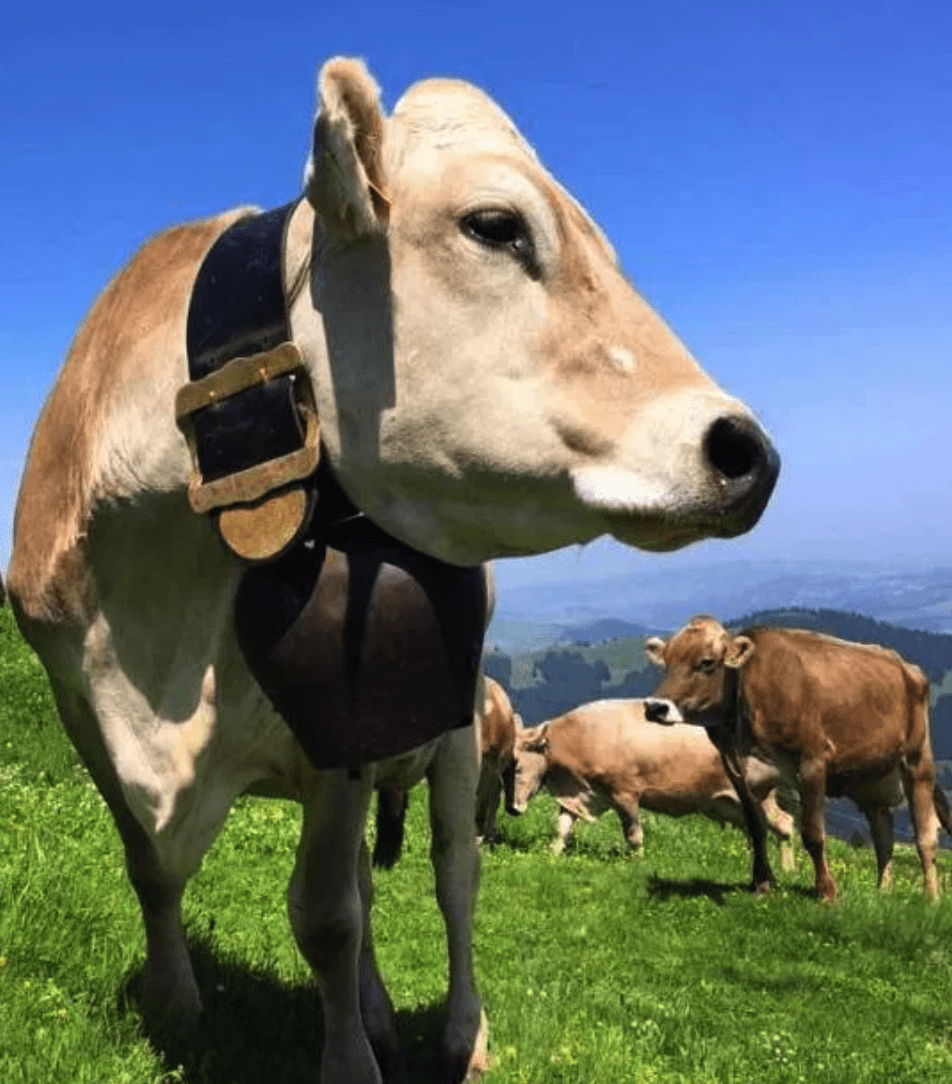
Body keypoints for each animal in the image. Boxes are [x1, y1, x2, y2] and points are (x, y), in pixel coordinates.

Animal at [509, 698, 793, 867]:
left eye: (517, 767)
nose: (512, 809)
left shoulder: (625, 793)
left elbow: (633, 834)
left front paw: (638, 862)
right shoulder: (579, 794)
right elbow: (562, 827)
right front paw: (552, 854)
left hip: (760, 797)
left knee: (784, 824)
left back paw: (787, 871)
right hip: (731, 804)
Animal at [641, 615, 952, 901]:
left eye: (706, 663)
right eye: (666, 662)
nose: (656, 707)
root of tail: (906, 666)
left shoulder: (812, 760)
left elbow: (812, 833)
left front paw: (826, 891)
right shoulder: (737, 770)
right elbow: (756, 827)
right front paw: (761, 884)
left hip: (917, 760)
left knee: (925, 836)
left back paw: (931, 897)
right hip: (869, 778)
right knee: (883, 836)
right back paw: (882, 893)